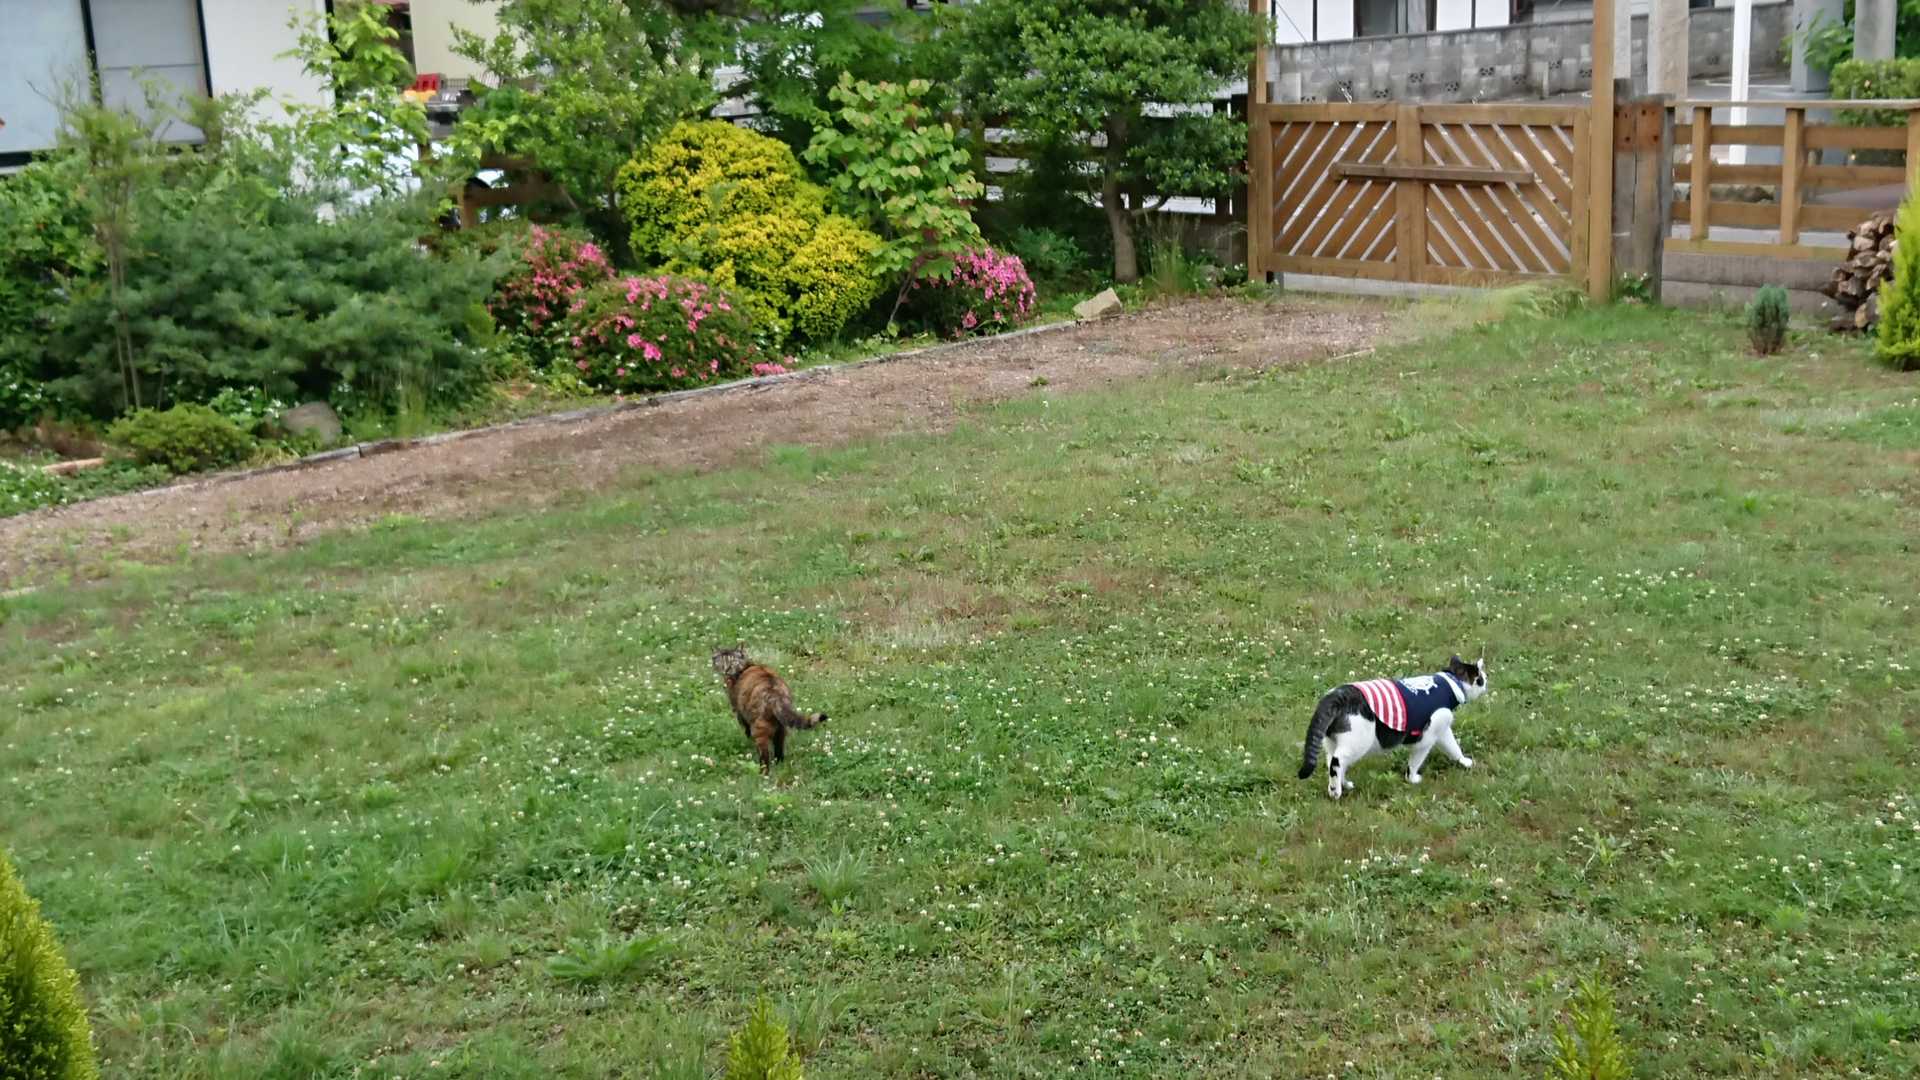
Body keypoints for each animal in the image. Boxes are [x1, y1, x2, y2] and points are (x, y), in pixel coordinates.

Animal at [711, 645, 827, 776]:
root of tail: (775, 694)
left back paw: (763, 773)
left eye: (731, 661)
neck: (745, 667)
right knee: (779, 749)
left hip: (760, 729)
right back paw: (779, 763)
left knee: (764, 756)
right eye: (722, 661)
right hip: (781, 728)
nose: (726, 670)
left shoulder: (740, 712)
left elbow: (746, 730)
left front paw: (747, 741)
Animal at [1297, 653, 1488, 799]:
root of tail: (1336, 695)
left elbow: (1454, 748)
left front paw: (1463, 761)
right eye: (1481, 679)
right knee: (1337, 762)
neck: (1451, 682)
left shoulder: (1443, 731)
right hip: (1358, 742)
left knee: (1332, 760)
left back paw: (1343, 785)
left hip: (1333, 742)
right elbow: (1415, 762)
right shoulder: (1429, 736)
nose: (1487, 683)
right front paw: (1412, 779)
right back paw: (1335, 791)